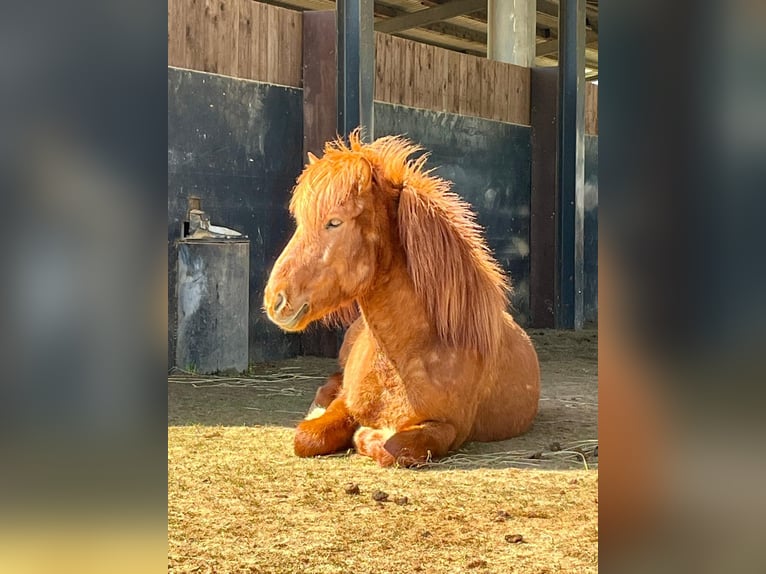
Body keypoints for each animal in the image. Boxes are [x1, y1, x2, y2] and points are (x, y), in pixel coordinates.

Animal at [263, 131, 540, 467]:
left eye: (334, 222)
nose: (275, 299)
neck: (403, 358)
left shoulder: (448, 428)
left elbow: (393, 447)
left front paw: (368, 436)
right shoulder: (347, 403)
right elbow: (307, 436)